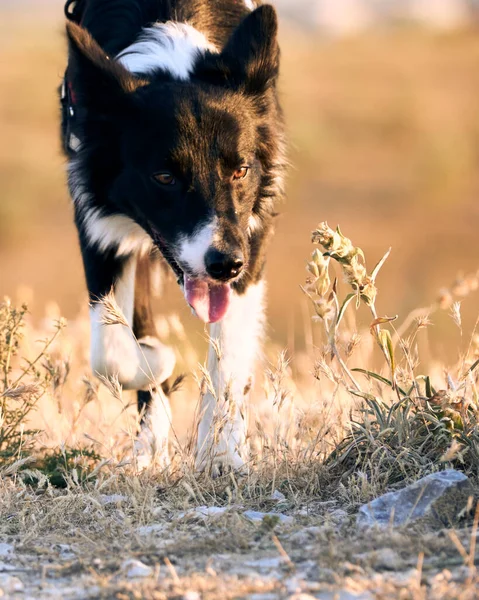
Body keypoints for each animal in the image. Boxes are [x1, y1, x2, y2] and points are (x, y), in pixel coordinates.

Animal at [60, 0, 284, 472]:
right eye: (164, 177)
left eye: (241, 170)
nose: (224, 265)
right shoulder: (97, 219)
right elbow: (110, 353)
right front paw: (159, 360)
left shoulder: (251, 232)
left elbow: (229, 356)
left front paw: (221, 455)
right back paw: (150, 441)